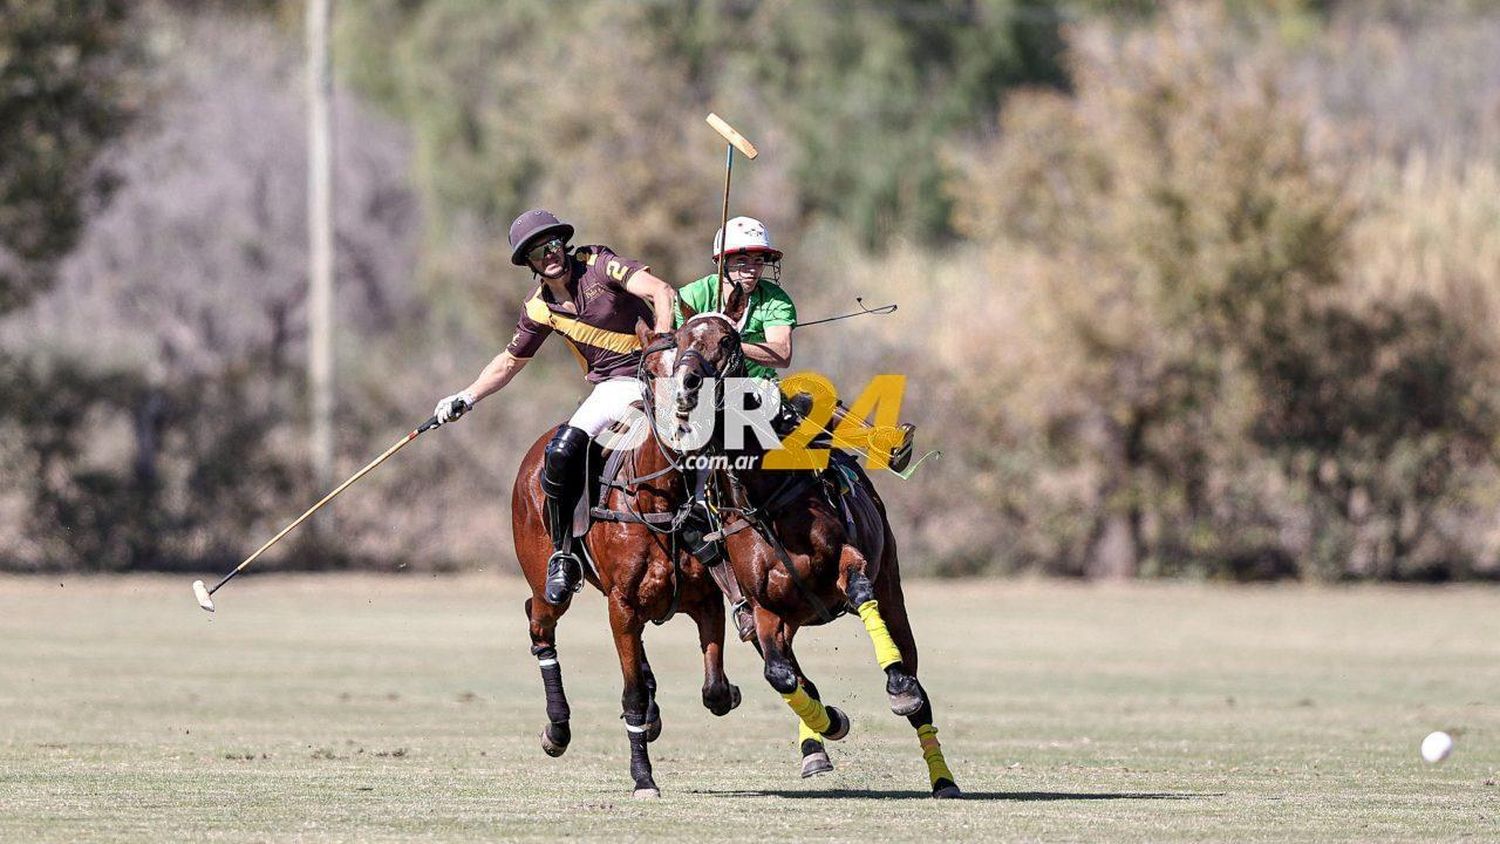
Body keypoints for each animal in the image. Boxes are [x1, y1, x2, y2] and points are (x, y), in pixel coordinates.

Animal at [510, 370, 744, 797]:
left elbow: (715, 690)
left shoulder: (706, 601)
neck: (661, 501)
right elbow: (631, 694)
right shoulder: (621, 604)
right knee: (539, 625)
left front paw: (725, 693)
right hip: (550, 584)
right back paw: (557, 729)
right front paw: (643, 777)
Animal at [666, 290, 966, 797]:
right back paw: (815, 745)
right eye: (679, 340)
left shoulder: (848, 560)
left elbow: (860, 595)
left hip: (892, 588)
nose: (688, 387)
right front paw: (829, 723)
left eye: (726, 340)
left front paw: (896, 691)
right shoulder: (763, 606)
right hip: (784, 617)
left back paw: (941, 774)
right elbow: (781, 675)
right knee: (789, 669)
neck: (763, 496)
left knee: (914, 678)